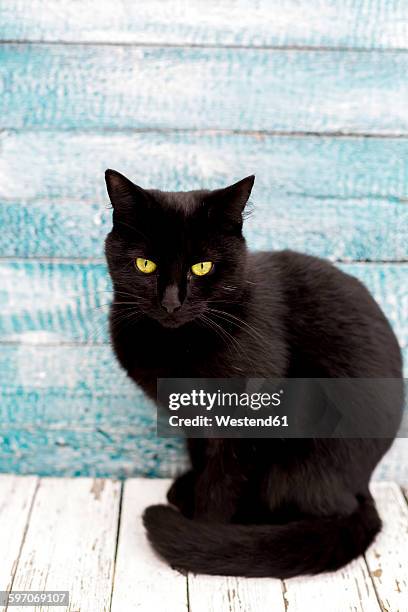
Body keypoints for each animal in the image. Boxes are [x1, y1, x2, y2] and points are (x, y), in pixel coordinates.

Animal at [104, 169, 402, 580]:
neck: (178, 345)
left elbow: (223, 480)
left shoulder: (248, 415)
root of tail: (362, 486)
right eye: (145, 265)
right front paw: (195, 498)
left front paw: (204, 534)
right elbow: (201, 454)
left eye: (202, 267)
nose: (171, 303)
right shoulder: (194, 415)